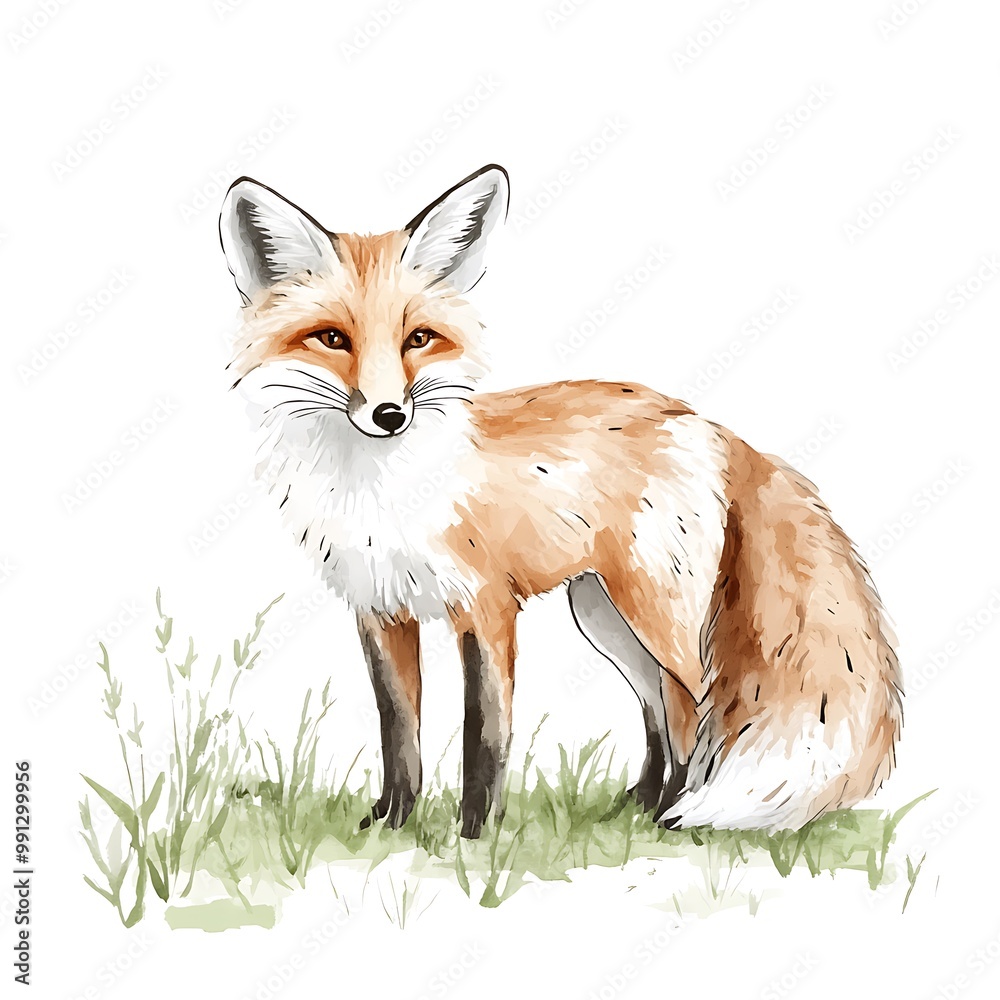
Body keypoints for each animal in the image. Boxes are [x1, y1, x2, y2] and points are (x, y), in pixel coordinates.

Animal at [218, 164, 903, 840]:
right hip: (603, 616)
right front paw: (389, 826)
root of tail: (703, 421)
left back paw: (672, 819)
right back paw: (633, 811)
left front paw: (474, 838)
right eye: (332, 338)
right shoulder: (381, 612)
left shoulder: (487, 608)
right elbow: (399, 732)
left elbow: (485, 734)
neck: (382, 490)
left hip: (655, 617)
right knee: (658, 716)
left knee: (692, 711)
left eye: (419, 338)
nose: (390, 414)